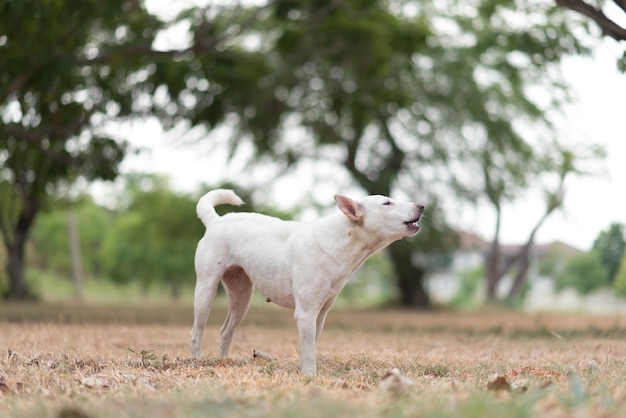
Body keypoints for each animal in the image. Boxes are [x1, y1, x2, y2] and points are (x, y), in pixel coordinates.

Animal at [190, 189, 424, 376]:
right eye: (387, 203)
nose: (422, 205)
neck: (342, 241)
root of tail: (216, 221)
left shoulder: (320, 314)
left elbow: (309, 345)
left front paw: (303, 370)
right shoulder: (306, 312)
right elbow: (309, 348)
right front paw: (309, 376)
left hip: (242, 295)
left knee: (225, 330)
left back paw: (223, 361)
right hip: (206, 289)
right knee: (196, 331)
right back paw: (196, 361)